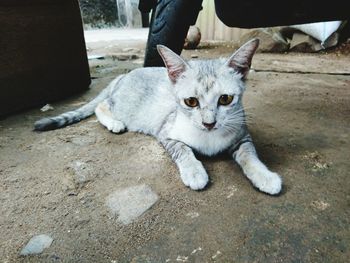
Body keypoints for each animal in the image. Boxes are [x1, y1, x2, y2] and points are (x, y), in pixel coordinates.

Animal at [34, 39, 284, 196]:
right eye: (191, 102)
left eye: (225, 99)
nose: (209, 123)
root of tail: (124, 75)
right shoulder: (166, 132)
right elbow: (183, 150)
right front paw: (194, 171)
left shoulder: (242, 134)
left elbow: (249, 155)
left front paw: (264, 176)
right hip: (123, 105)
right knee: (102, 105)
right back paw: (114, 122)